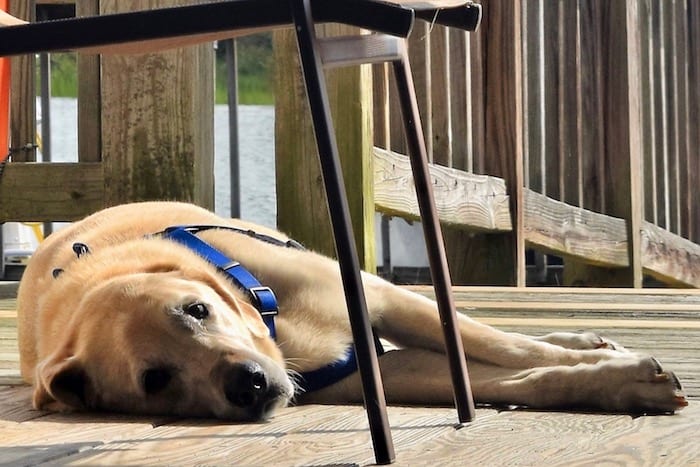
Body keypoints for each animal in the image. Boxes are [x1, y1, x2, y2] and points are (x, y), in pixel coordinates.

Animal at [17, 201, 688, 420]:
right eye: (154, 379)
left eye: (197, 310)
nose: (248, 384)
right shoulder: (374, 372)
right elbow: (513, 376)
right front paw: (625, 384)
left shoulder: (381, 299)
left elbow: (508, 348)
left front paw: (617, 364)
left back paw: (584, 338)